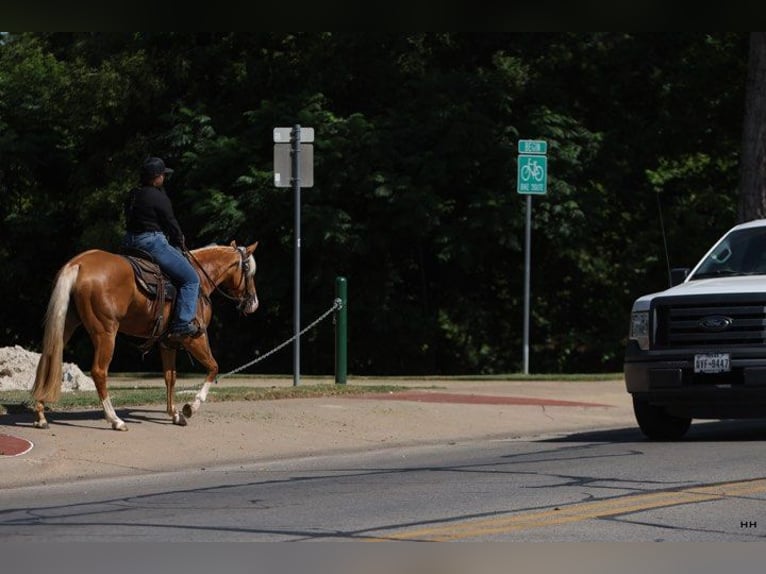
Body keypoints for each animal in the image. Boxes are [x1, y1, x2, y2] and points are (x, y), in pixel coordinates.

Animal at [32, 240, 259, 430]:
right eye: (249, 270)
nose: (253, 303)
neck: (200, 279)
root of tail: (79, 264)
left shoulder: (168, 343)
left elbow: (170, 377)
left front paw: (175, 414)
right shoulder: (194, 338)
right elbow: (213, 367)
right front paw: (190, 408)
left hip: (67, 324)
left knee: (48, 360)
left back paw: (41, 415)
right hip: (106, 333)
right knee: (99, 372)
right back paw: (115, 420)